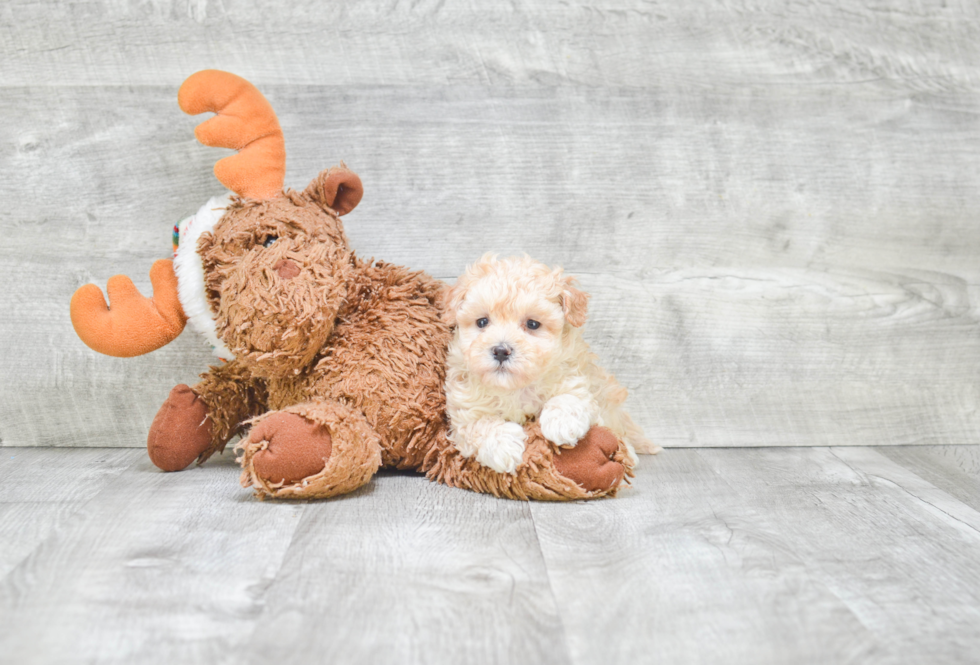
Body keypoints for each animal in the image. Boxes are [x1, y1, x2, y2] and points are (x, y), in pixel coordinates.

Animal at [446, 252, 660, 474]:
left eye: (532, 324)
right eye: (482, 322)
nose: (501, 351)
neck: (516, 388)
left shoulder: (578, 378)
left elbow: (571, 396)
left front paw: (562, 423)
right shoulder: (463, 408)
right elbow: (477, 424)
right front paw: (503, 446)